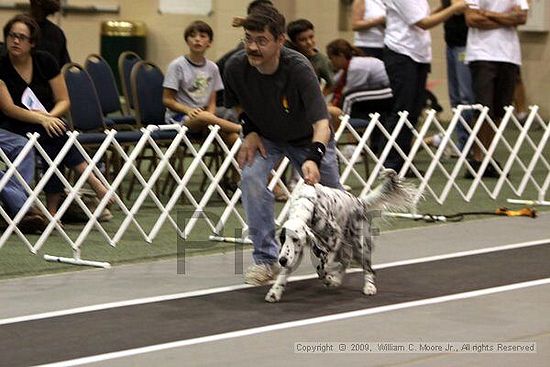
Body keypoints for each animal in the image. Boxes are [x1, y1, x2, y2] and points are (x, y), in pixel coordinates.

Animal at [268, 171, 418, 304]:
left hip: (359, 244)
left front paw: (328, 279)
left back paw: (368, 286)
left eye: (296, 239)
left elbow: (322, 268)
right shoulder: (295, 252)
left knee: (367, 268)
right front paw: (275, 292)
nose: (281, 260)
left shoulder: (332, 241)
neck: (309, 205)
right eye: (282, 239)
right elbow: (286, 272)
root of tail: (359, 202)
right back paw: (337, 280)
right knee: (346, 261)